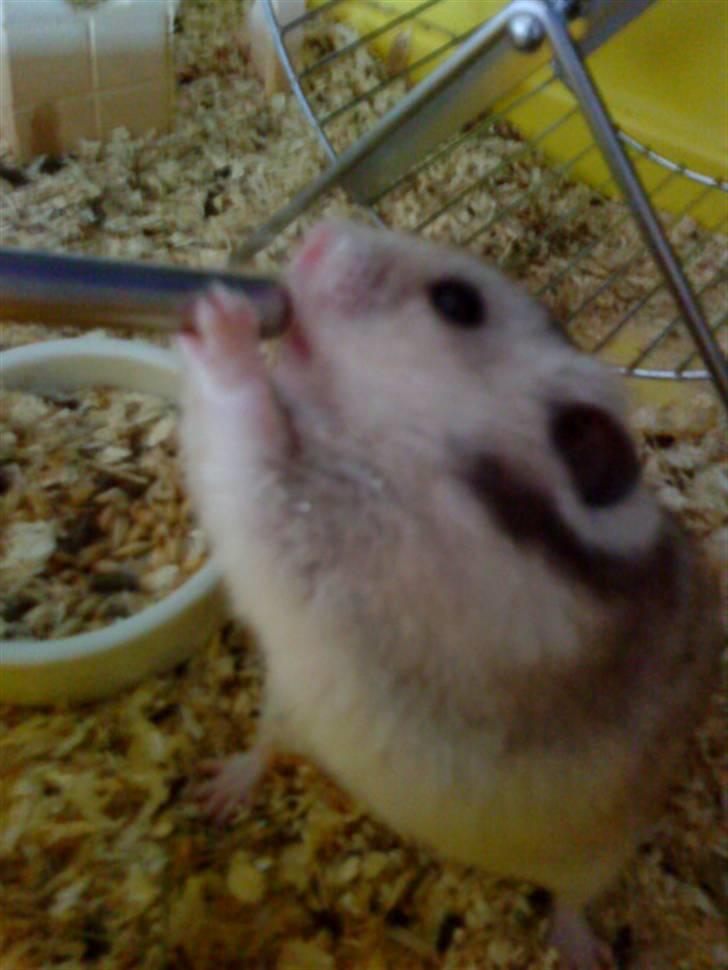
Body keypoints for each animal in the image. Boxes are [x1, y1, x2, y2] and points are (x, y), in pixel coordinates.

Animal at [177, 220, 722, 970]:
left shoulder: (331, 540)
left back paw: (583, 952)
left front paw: (218, 316)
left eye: (457, 303)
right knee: (265, 749)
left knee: (572, 899)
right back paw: (216, 791)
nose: (316, 235)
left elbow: (253, 436)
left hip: (603, 850)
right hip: (288, 701)